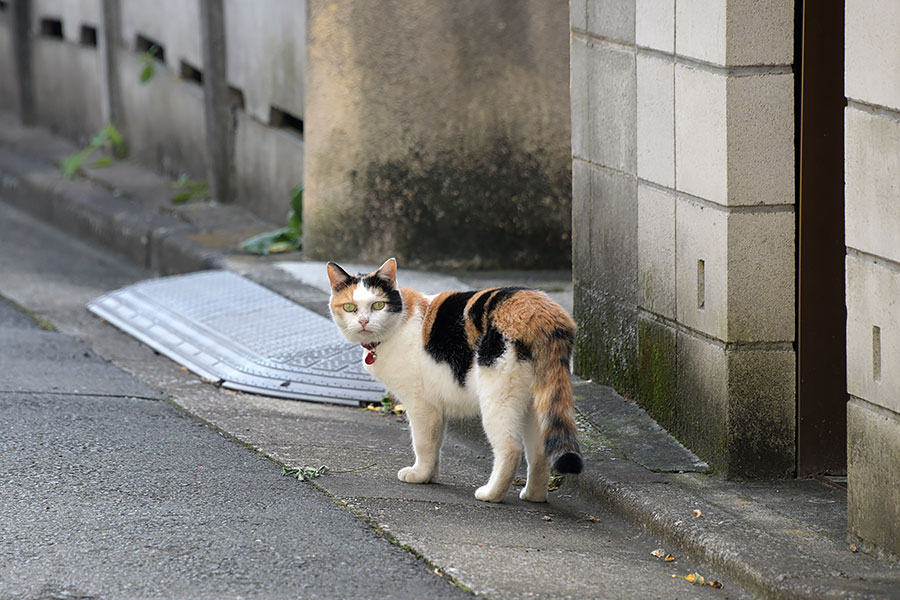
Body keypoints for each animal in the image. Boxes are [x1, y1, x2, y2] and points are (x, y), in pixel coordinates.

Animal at [326, 258, 584, 502]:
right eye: (349, 307)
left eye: (378, 305)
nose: (363, 322)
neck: (399, 322)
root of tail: (539, 310)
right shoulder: (436, 408)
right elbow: (435, 443)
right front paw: (429, 476)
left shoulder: (421, 404)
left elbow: (422, 443)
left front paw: (418, 475)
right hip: (534, 403)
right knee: (540, 450)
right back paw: (534, 496)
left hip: (498, 397)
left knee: (511, 448)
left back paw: (491, 494)